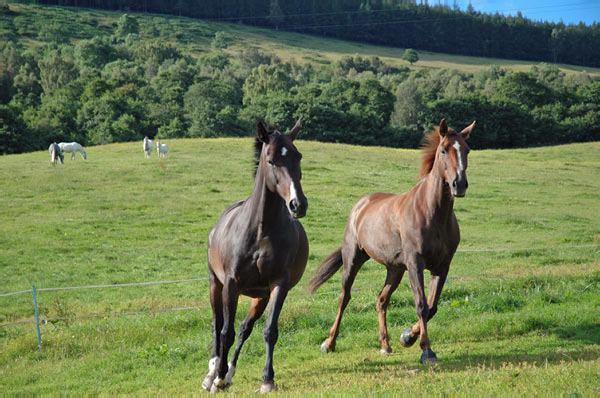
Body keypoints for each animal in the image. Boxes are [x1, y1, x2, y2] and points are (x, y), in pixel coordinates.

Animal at [204, 117, 310, 392]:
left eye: (298, 156)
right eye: (271, 160)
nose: (298, 204)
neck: (260, 232)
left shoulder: (278, 285)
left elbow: (268, 331)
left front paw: (268, 379)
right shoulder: (231, 284)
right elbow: (225, 332)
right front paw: (218, 377)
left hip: (259, 296)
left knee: (245, 328)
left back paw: (230, 372)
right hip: (215, 284)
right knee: (217, 325)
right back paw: (212, 373)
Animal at [310, 118, 474, 364]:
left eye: (467, 150)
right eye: (444, 150)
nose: (459, 184)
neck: (432, 213)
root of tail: (361, 205)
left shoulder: (442, 266)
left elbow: (432, 306)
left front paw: (407, 337)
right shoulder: (415, 263)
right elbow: (421, 304)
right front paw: (426, 350)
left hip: (395, 269)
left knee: (381, 300)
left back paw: (385, 345)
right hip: (353, 259)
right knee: (344, 297)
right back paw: (329, 343)